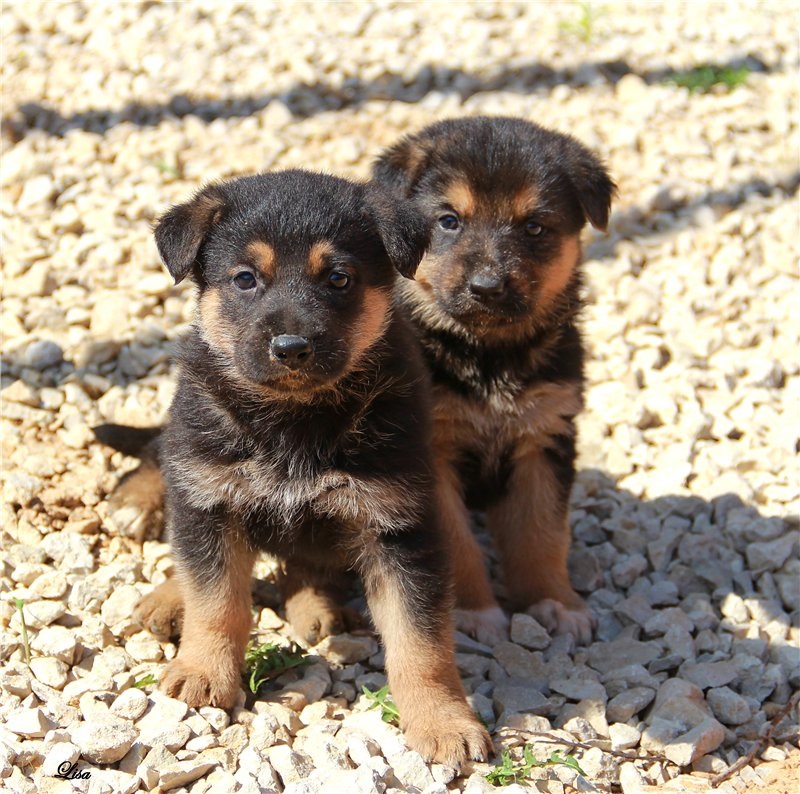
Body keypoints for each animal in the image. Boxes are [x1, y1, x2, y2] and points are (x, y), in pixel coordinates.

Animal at [129, 172, 490, 760]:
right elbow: (216, 600)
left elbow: (421, 643)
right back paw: (167, 597)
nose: (291, 347)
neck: (294, 418)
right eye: (245, 279)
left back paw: (314, 608)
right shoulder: (209, 499)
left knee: (302, 568)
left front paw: (443, 722)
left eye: (339, 279)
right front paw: (204, 672)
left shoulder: (399, 528)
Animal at [372, 119, 616, 648]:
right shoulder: (432, 456)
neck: (488, 354)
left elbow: (541, 535)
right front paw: (474, 611)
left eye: (534, 227)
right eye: (448, 221)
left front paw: (555, 602)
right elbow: (457, 545)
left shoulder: (543, 437)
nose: (487, 287)